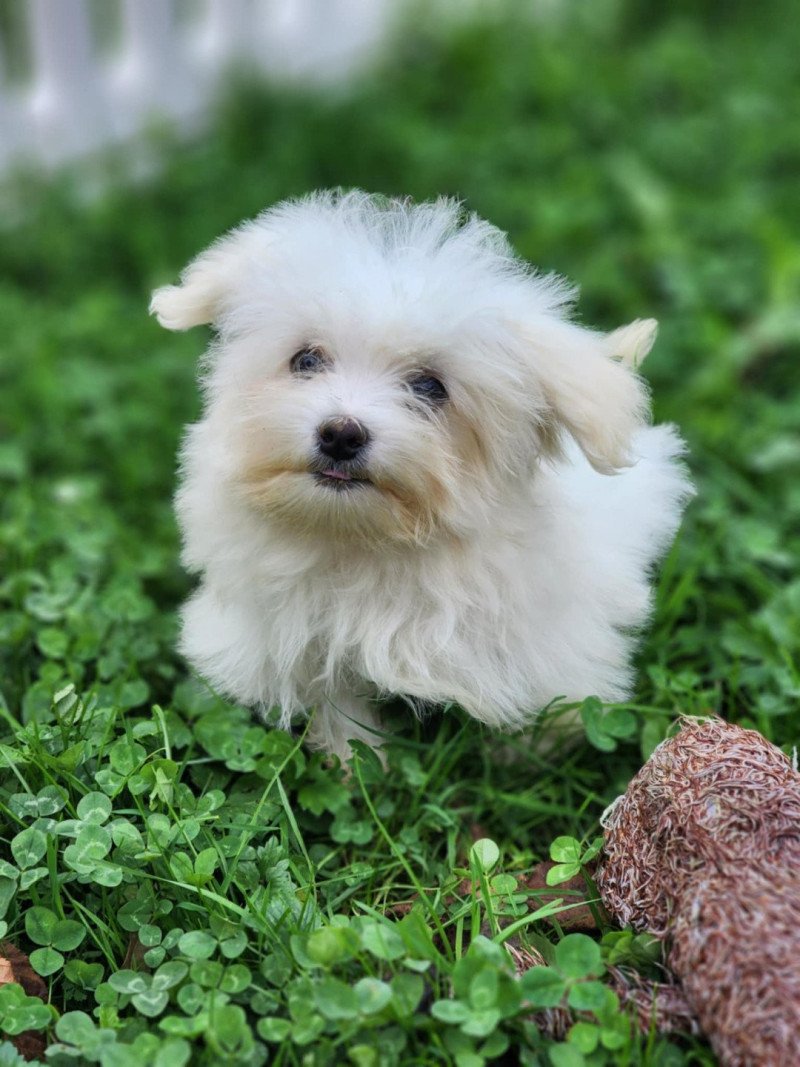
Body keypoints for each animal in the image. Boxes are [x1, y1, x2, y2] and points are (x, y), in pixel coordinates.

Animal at [153, 189, 691, 759]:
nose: (340, 434)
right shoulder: (300, 639)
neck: (366, 541)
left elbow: (542, 712)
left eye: (430, 387)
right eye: (306, 360)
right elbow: (340, 707)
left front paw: (519, 761)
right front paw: (354, 762)